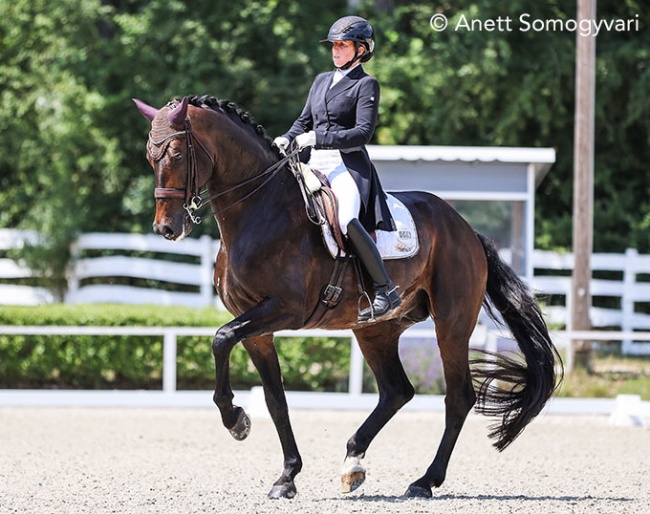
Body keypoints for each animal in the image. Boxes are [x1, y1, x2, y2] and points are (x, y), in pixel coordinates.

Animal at [133, 95, 563, 500]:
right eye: (150, 156)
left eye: (176, 154)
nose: (166, 228)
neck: (260, 211)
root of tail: (466, 229)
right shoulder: (256, 327)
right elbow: (274, 399)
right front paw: (286, 476)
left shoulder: (284, 310)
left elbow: (221, 338)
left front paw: (236, 421)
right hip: (375, 329)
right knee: (396, 391)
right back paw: (353, 462)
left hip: (452, 324)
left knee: (457, 397)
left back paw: (424, 481)